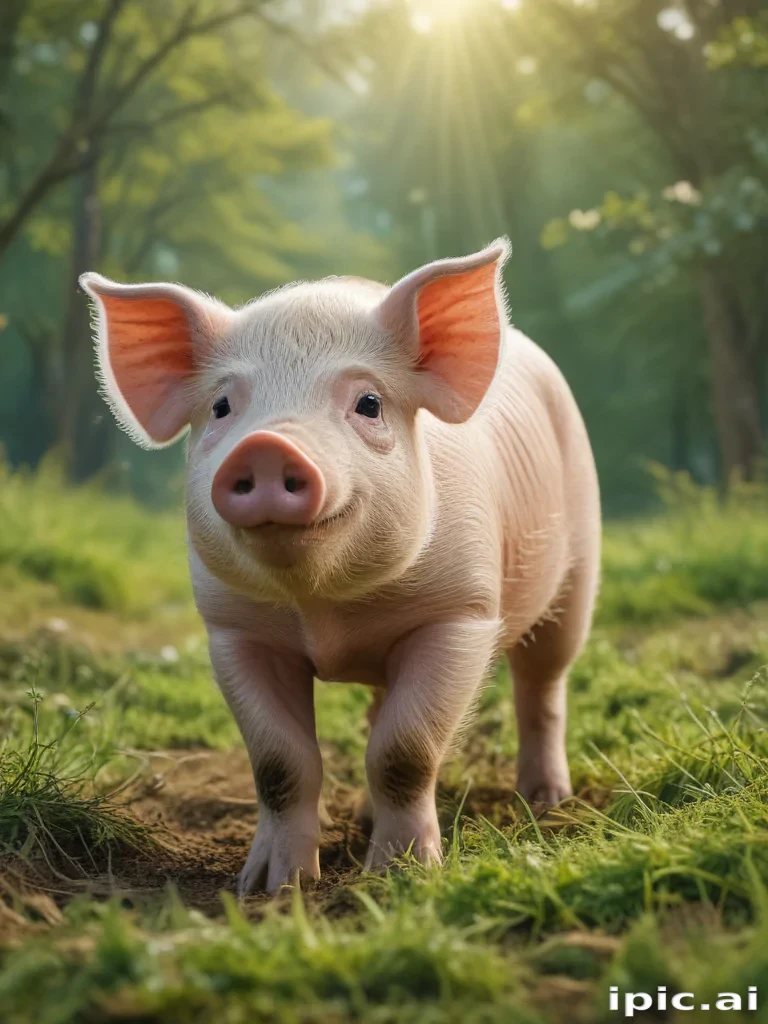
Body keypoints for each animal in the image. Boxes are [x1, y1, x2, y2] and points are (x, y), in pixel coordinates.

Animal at [80, 238, 600, 894]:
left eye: (369, 403)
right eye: (222, 406)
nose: (268, 446)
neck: (323, 610)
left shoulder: (461, 614)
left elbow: (405, 751)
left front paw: (400, 876)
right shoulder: (234, 630)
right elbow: (279, 763)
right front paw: (270, 887)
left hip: (578, 567)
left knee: (544, 683)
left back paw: (546, 801)